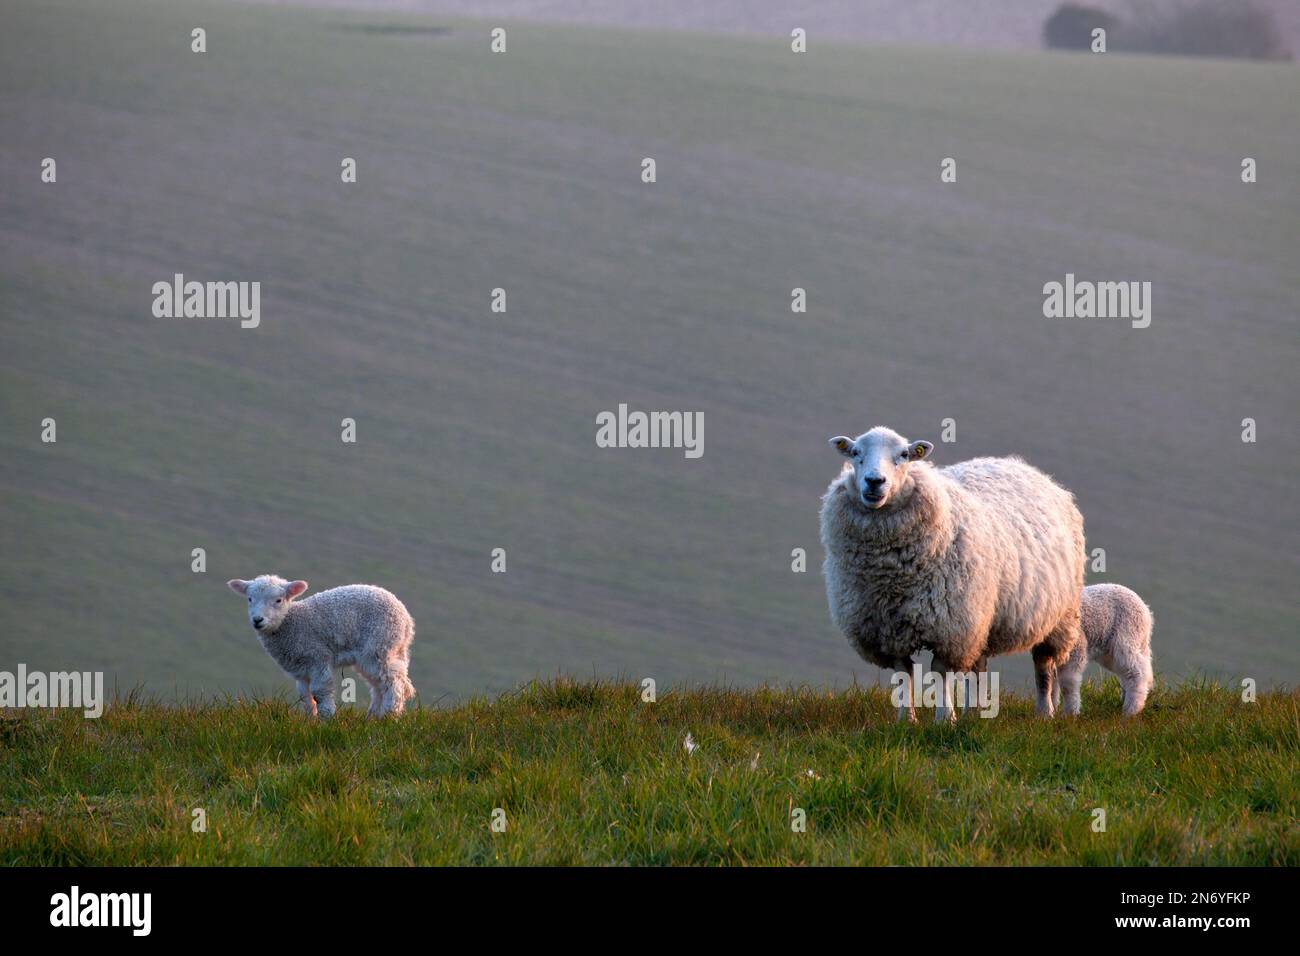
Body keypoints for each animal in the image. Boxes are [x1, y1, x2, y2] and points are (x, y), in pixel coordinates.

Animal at [223, 574, 416, 717]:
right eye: (250, 599)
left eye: (278, 600)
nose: (258, 620)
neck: (290, 623)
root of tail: (405, 618)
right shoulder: (300, 669)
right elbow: (305, 698)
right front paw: (310, 722)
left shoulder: (318, 657)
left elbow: (320, 692)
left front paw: (327, 722)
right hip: (389, 649)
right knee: (381, 684)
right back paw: (373, 717)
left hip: (378, 645)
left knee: (393, 683)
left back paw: (389, 715)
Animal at [821, 421, 1086, 723]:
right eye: (855, 453)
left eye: (903, 455)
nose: (874, 481)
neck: (891, 577)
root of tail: (1020, 465)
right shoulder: (889, 628)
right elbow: (903, 672)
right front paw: (906, 719)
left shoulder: (951, 626)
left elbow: (940, 672)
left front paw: (945, 718)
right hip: (982, 616)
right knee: (977, 667)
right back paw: (974, 711)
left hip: (1057, 614)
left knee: (1043, 663)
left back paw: (1044, 711)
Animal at [1055, 582, 1159, 717]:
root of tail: (1145, 610)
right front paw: (1049, 713)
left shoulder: (1075, 646)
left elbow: (1068, 683)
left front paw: (1069, 714)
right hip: (1112, 650)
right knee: (1131, 671)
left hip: (1126, 635)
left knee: (1137, 671)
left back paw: (1131, 709)